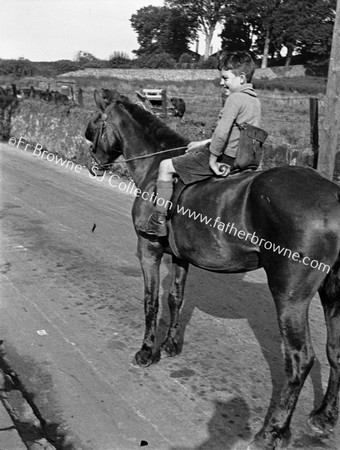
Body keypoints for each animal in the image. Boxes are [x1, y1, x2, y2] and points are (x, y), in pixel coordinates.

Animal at [85, 89, 340, 450]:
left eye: (97, 123)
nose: (94, 162)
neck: (155, 164)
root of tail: (334, 195)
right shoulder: (180, 258)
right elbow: (175, 298)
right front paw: (171, 345)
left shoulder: (148, 249)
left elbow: (151, 301)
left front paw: (147, 351)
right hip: (332, 293)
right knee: (335, 351)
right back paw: (323, 416)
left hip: (290, 295)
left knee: (300, 359)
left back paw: (272, 431)